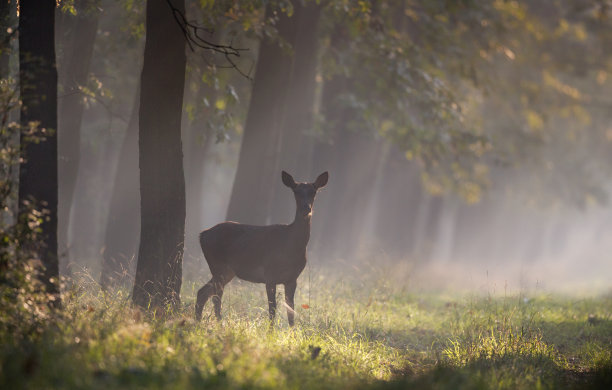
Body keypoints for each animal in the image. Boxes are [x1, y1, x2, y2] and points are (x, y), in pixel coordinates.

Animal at [196, 171, 330, 326]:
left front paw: (292, 331)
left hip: (227, 271)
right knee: (215, 297)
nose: (306, 208)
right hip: (217, 265)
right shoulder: (270, 274)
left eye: (314, 191)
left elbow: (291, 310)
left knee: (203, 293)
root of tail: (202, 234)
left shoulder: (292, 278)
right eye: (296, 191)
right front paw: (270, 331)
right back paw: (218, 324)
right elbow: (272, 309)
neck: (291, 246)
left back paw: (200, 322)